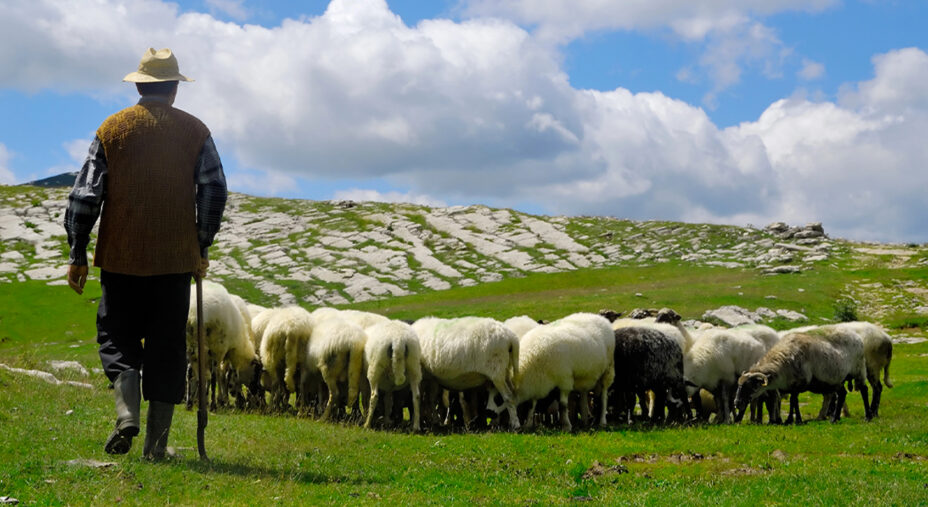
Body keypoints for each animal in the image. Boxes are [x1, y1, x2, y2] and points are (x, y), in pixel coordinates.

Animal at [185, 281, 260, 411]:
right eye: (256, 373)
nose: (255, 390)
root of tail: (193, 315)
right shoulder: (221, 351)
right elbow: (228, 375)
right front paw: (231, 400)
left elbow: (223, 375)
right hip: (215, 346)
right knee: (212, 376)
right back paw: (212, 404)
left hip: (190, 345)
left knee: (190, 373)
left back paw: (190, 402)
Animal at [734, 328, 871, 424]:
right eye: (739, 385)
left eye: (751, 386)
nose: (736, 403)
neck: (782, 364)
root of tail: (858, 337)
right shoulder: (789, 386)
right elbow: (792, 402)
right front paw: (789, 420)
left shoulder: (798, 384)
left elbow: (794, 401)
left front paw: (797, 420)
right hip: (837, 379)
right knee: (842, 394)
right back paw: (834, 419)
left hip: (858, 369)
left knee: (864, 390)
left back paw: (867, 417)